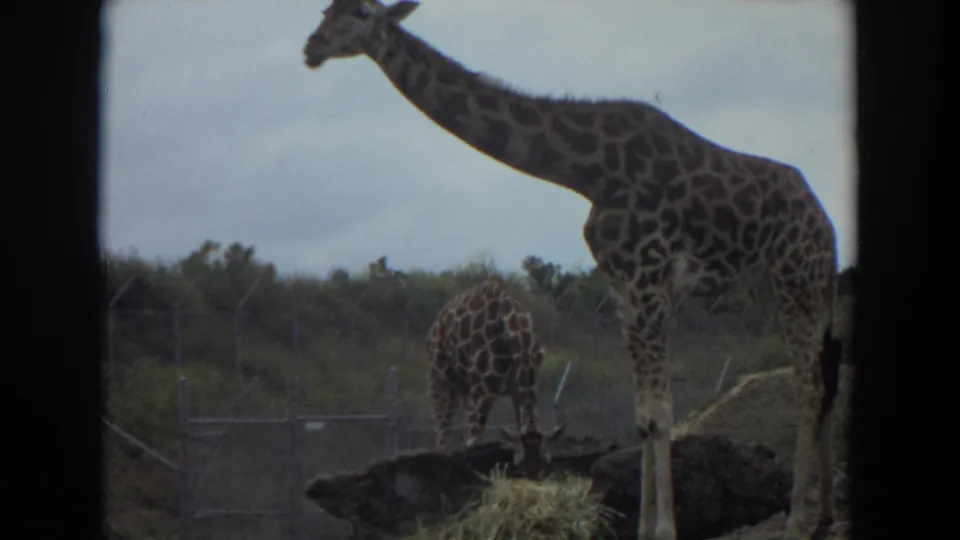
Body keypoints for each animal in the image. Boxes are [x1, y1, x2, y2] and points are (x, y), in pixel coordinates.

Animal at [426, 274, 565, 475]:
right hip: (440, 377)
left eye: (545, 465)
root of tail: (436, 322)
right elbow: (473, 441)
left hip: (464, 387)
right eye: (520, 467)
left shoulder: (520, 387)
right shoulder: (483, 389)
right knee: (443, 429)